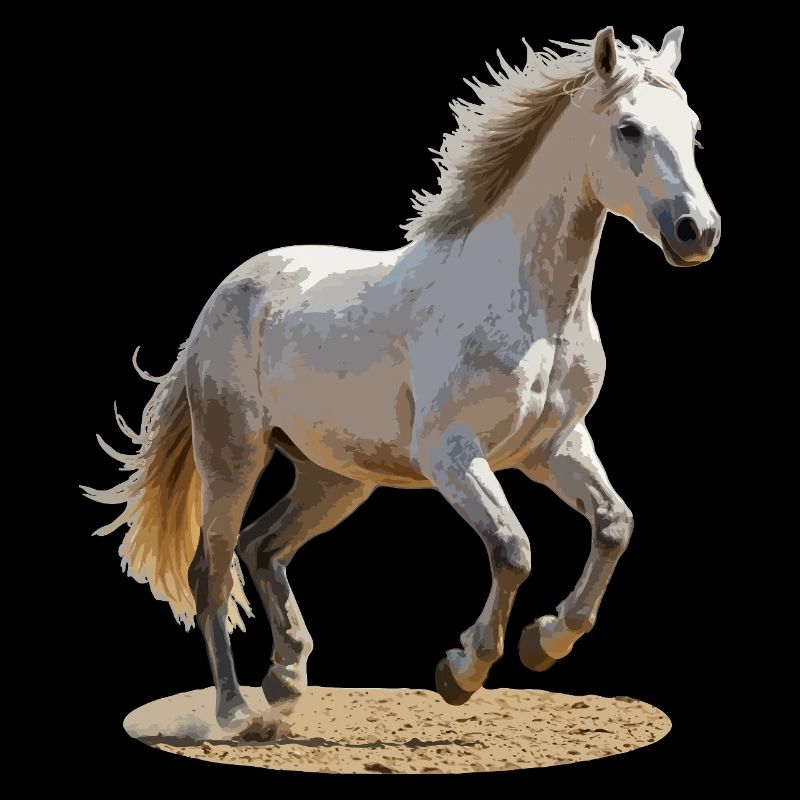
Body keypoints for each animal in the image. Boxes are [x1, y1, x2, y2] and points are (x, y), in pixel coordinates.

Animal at [84, 26, 720, 730]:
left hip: (336, 476)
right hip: (233, 454)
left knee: (263, 546)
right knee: (213, 567)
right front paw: (462, 671)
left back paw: (287, 677)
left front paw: (546, 641)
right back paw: (236, 712)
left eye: (692, 128)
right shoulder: (451, 453)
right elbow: (513, 547)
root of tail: (224, 298)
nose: (697, 232)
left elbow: (614, 524)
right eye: (629, 129)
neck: (528, 305)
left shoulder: (554, 446)